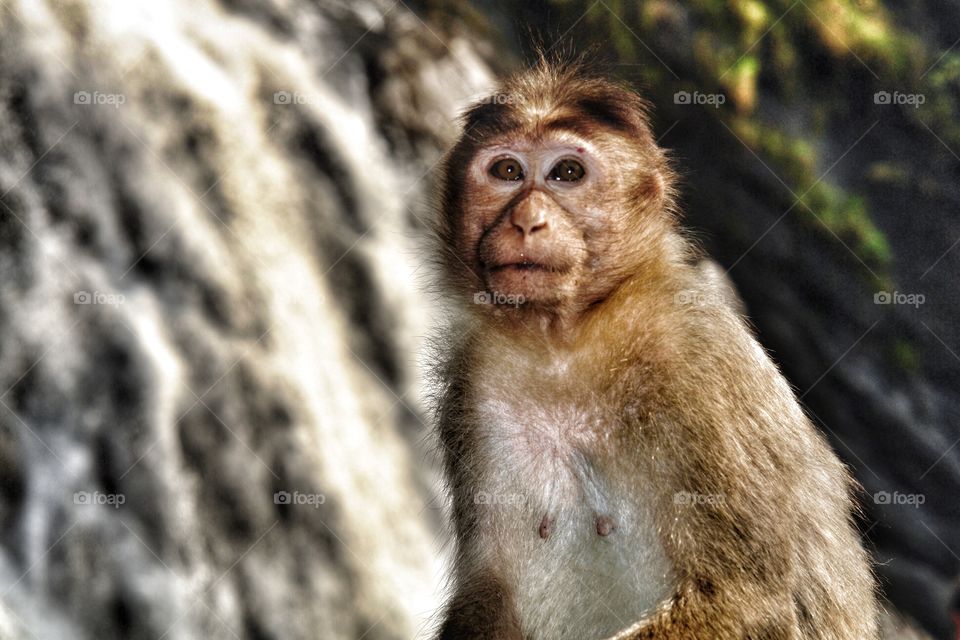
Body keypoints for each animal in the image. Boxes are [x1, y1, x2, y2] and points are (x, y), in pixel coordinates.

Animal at [432, 57, 880, 636]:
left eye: (566, 174)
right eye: (507, 171)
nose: (527, 221)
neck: (567, 344)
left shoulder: (695, 356)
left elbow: (749, 596)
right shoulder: (476, 376)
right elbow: (490, 586)